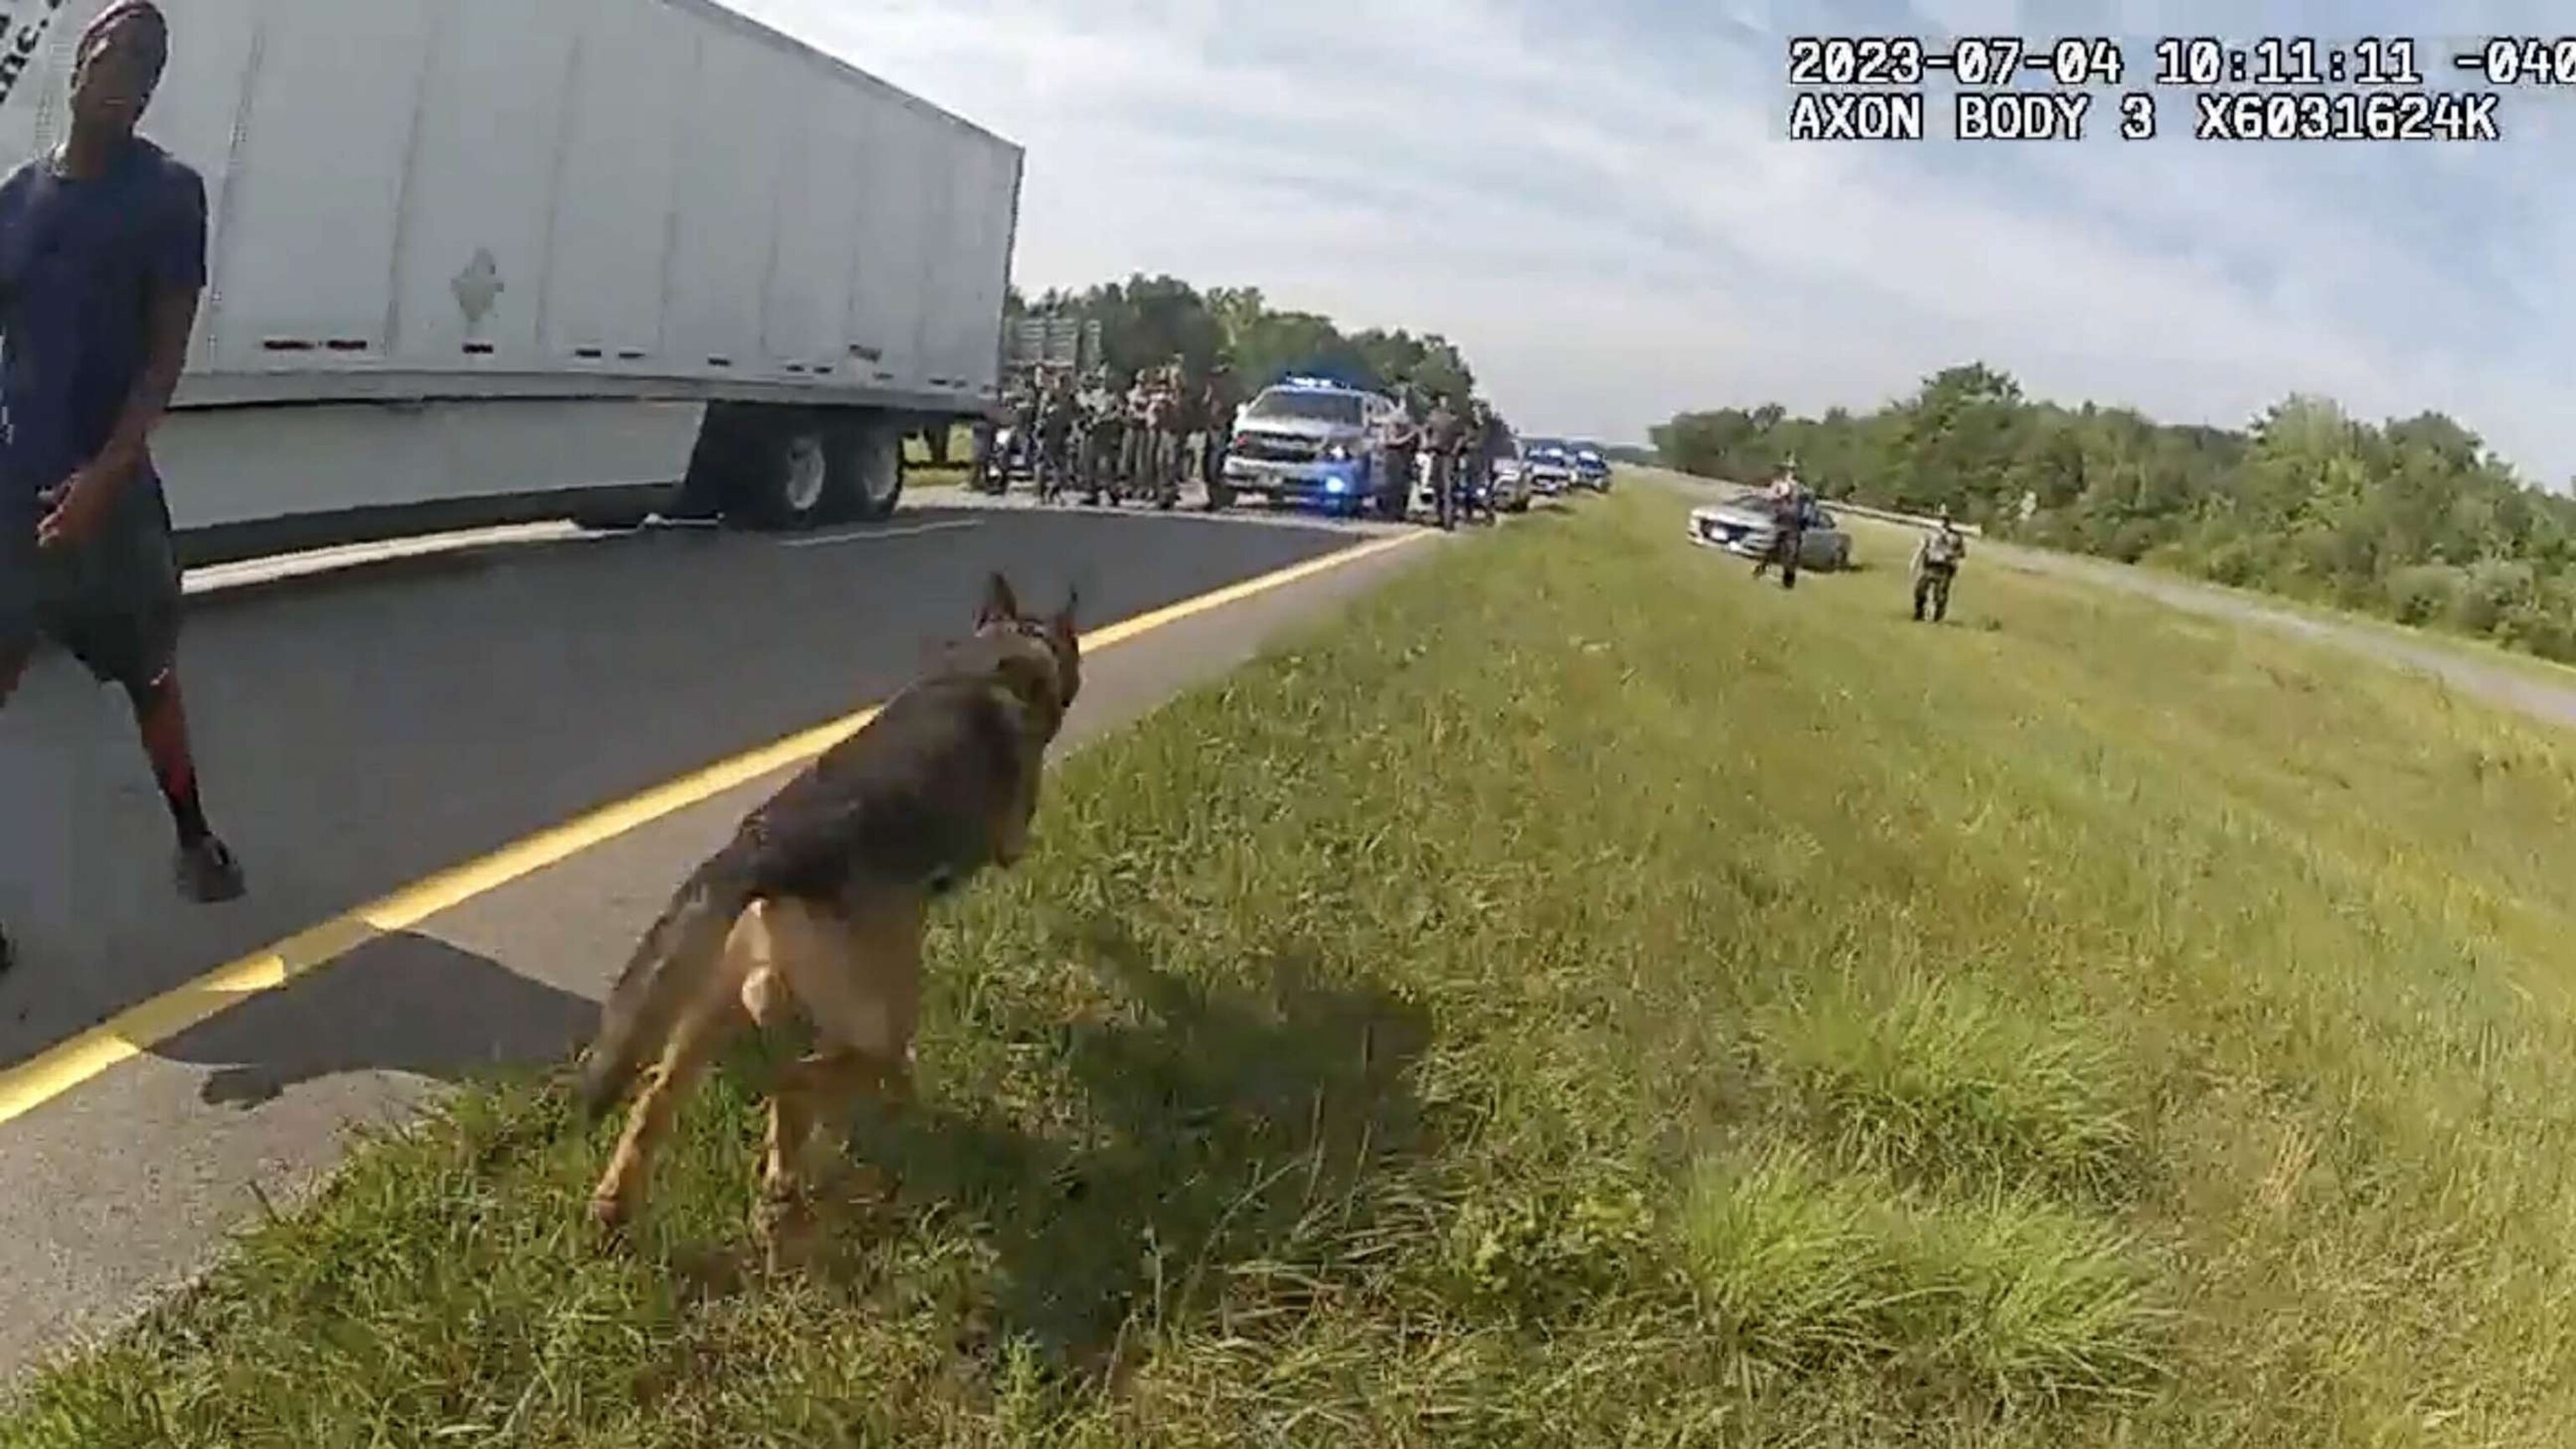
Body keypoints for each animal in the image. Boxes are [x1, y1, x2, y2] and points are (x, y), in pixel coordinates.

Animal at [574, 564, 1077, 1263]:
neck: (1003, 655)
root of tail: (765, 849)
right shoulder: (1012, 836)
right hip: (878, 1018)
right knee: (803, 1083)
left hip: (708, 1006)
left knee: (658, 1100)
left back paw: (617, 1206)